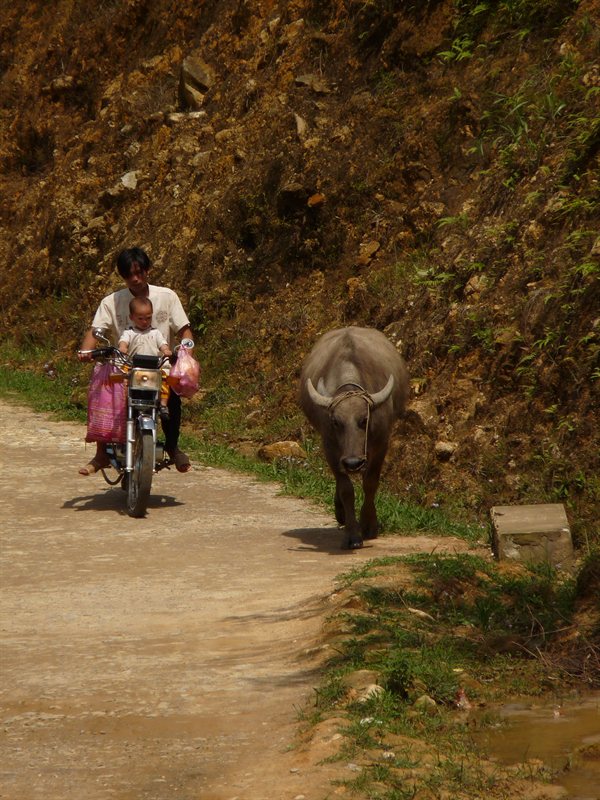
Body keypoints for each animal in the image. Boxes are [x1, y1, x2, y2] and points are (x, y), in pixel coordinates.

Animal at [299, 326, 409, 549]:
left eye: (364, 420)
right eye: (335, 422)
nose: (353, 463)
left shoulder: (381, 444)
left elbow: (370, 483)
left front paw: (368, 525)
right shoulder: (330, 448)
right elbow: (346, 489)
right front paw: (352, 534)